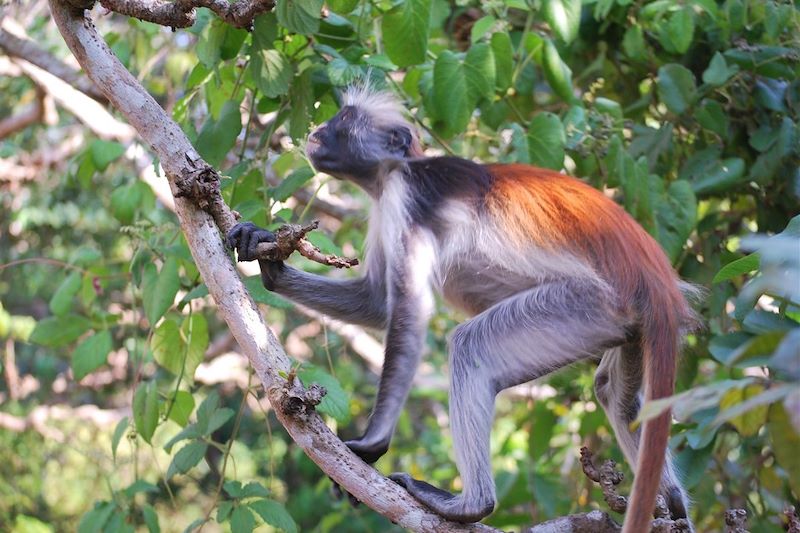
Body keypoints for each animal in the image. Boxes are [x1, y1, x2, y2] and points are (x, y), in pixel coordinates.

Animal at [228, 86, 696, 528]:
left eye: (343, 121)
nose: (318, 131)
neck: (396, 171)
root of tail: (651, 277)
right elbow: (376, 302)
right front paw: (268, 259)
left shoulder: (406, 197)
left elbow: (410, 310)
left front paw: (371, 444)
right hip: (618, 324)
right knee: (613, 392)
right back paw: (672, 506)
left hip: (585, 304)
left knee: (472, 345)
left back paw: (471, 505)